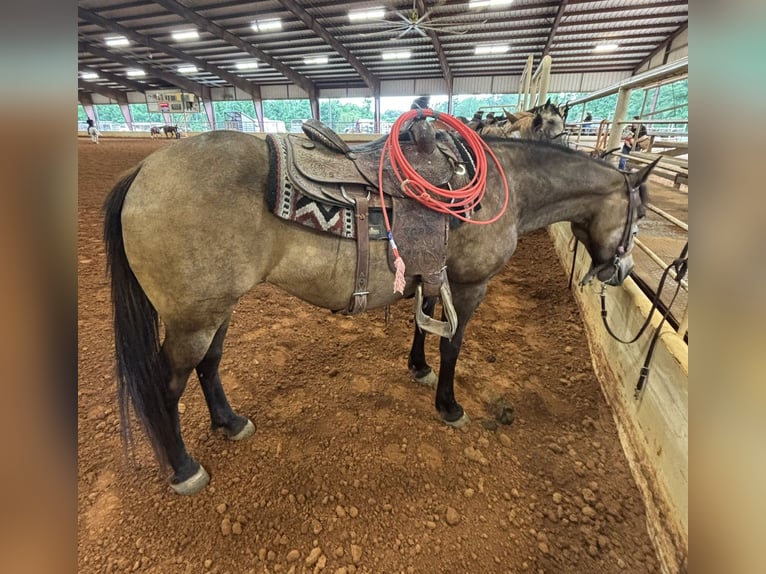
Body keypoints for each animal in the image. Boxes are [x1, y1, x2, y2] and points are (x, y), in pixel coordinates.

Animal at [104, 128, 656, 495]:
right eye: (641, 215)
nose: (623, 270)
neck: (507, 189)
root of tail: (144, 171)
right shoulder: (470, 286)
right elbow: (453, 345)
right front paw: (448, 405)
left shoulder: (434, 274)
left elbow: (425, 322)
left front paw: (417, 367)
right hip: (192, 320)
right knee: (167, 385)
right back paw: (183, 468)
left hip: (216, 311)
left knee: (210, 364)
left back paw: (230, 422)